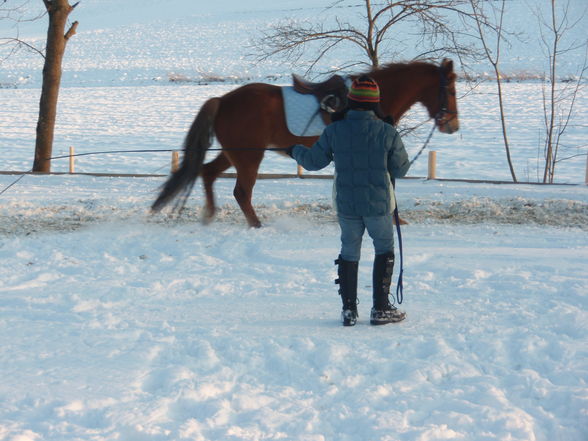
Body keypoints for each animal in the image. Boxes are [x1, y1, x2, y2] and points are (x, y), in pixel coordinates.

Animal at [152, 57, 460, 227]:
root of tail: (223, 100)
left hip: (234, 153)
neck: (371, 100)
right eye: (451, 90)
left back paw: (210, 214)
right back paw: (256, 225)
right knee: (241, 192)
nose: (452, 125)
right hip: (249, 157)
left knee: (208, 173)